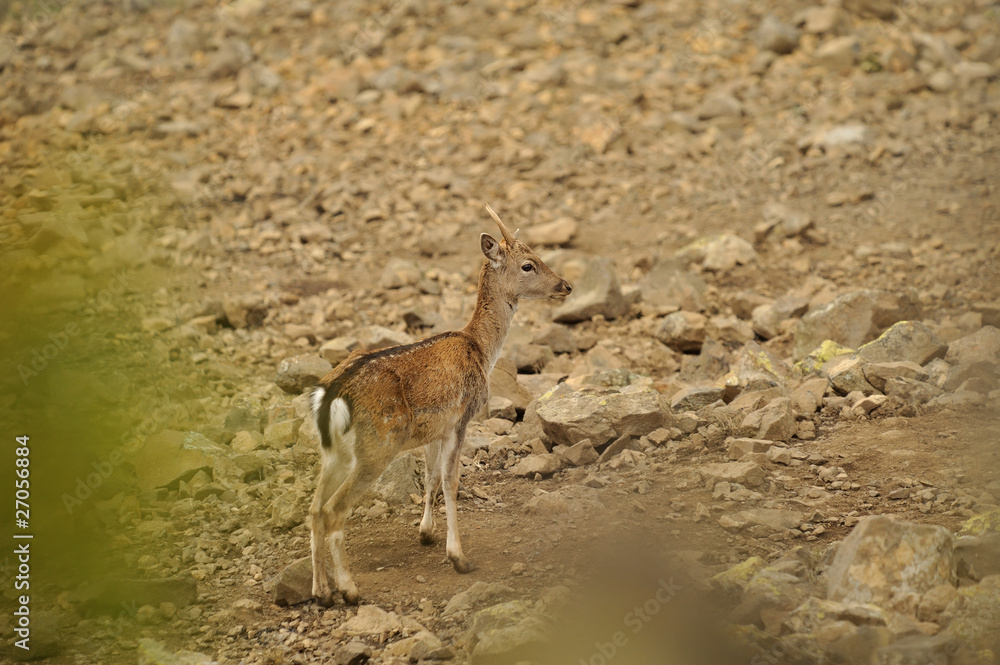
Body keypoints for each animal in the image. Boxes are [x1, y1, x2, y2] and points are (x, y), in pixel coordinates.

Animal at [308, 205, 573, 605]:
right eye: (529, 265)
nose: (566, 286)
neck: (481, 350)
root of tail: (332, 396)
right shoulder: (462, 418)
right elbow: (451, 481)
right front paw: (459, 557)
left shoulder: (434, 429)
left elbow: (431, 477)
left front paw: (426, 533)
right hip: (376, 447)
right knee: (334, 509)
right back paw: (349, 589)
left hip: (333, 453)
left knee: (313, 508)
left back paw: (321, 590)